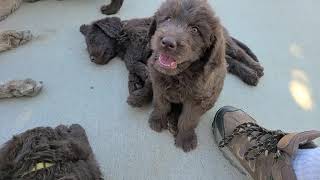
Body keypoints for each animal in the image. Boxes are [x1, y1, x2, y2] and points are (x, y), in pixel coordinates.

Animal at [148, 0, 228, 152]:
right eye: (168, 19)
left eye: (195, 30)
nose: (167, 42)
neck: (179, 75)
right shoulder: (158, 82)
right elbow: (161, 103)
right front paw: (157, 119)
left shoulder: (197, 99)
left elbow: (188, 119)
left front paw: (186, 138)